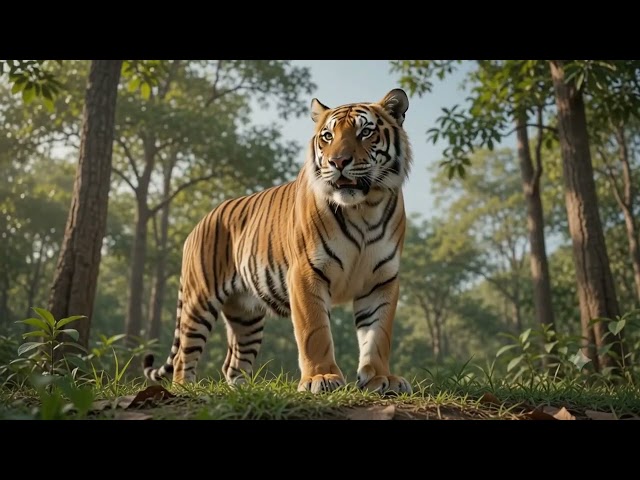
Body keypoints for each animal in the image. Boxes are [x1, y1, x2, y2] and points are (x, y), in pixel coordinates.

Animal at [143, 88, 413, 394]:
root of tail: (200, 221)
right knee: (183, 356)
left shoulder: (381, 279)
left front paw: (381, 379)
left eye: (365, 132)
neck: (364, 209)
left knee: (232, 363)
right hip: (198, 300)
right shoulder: (307, 273)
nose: (338, 162)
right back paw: (184, 390)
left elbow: (378, 335)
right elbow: (315, 332)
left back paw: (242, 392)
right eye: (327, 136)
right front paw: (321, 378)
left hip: (246, 315)